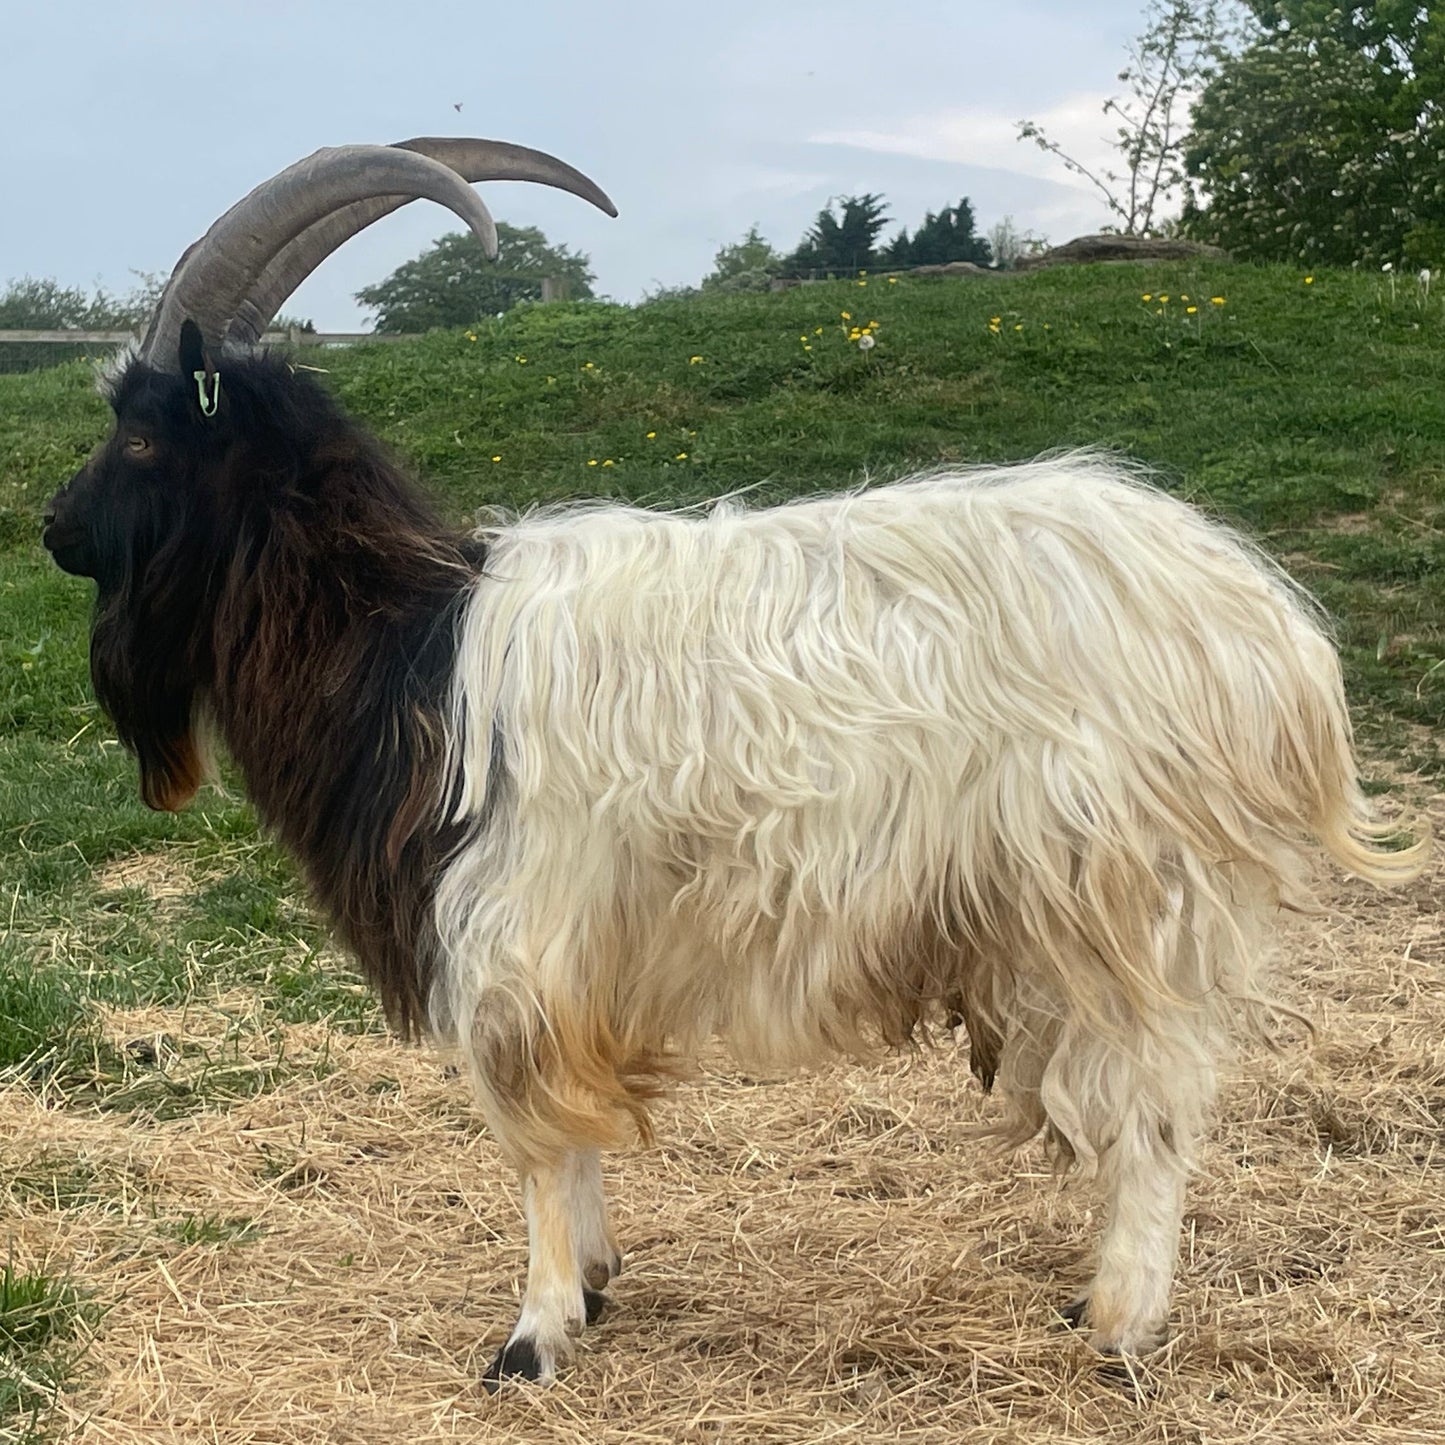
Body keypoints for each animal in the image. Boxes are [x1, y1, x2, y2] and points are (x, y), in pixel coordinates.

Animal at [43, 141, 1425, 1390]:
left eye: (144, 437)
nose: (55, 529)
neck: (412, 644)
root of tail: (1269, 636)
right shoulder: (573, 952)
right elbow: (576, 1129)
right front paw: (596, 1283)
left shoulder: (512, 934)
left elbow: (533, 1136)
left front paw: (532, 1334)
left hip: (1117, 896)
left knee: (1152, 1101)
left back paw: (1118, 1325)